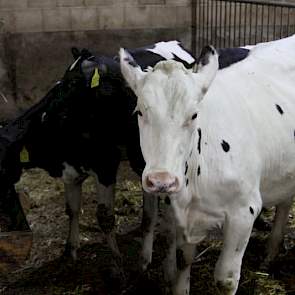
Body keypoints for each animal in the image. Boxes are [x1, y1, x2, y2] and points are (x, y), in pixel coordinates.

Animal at [121, 35, 295, 295]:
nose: (161, 180)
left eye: (194, 115)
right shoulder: (180, 212)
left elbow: (225, 279)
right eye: (140, 112)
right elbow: (183, 261)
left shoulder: (244, 211)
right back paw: (271, 253)